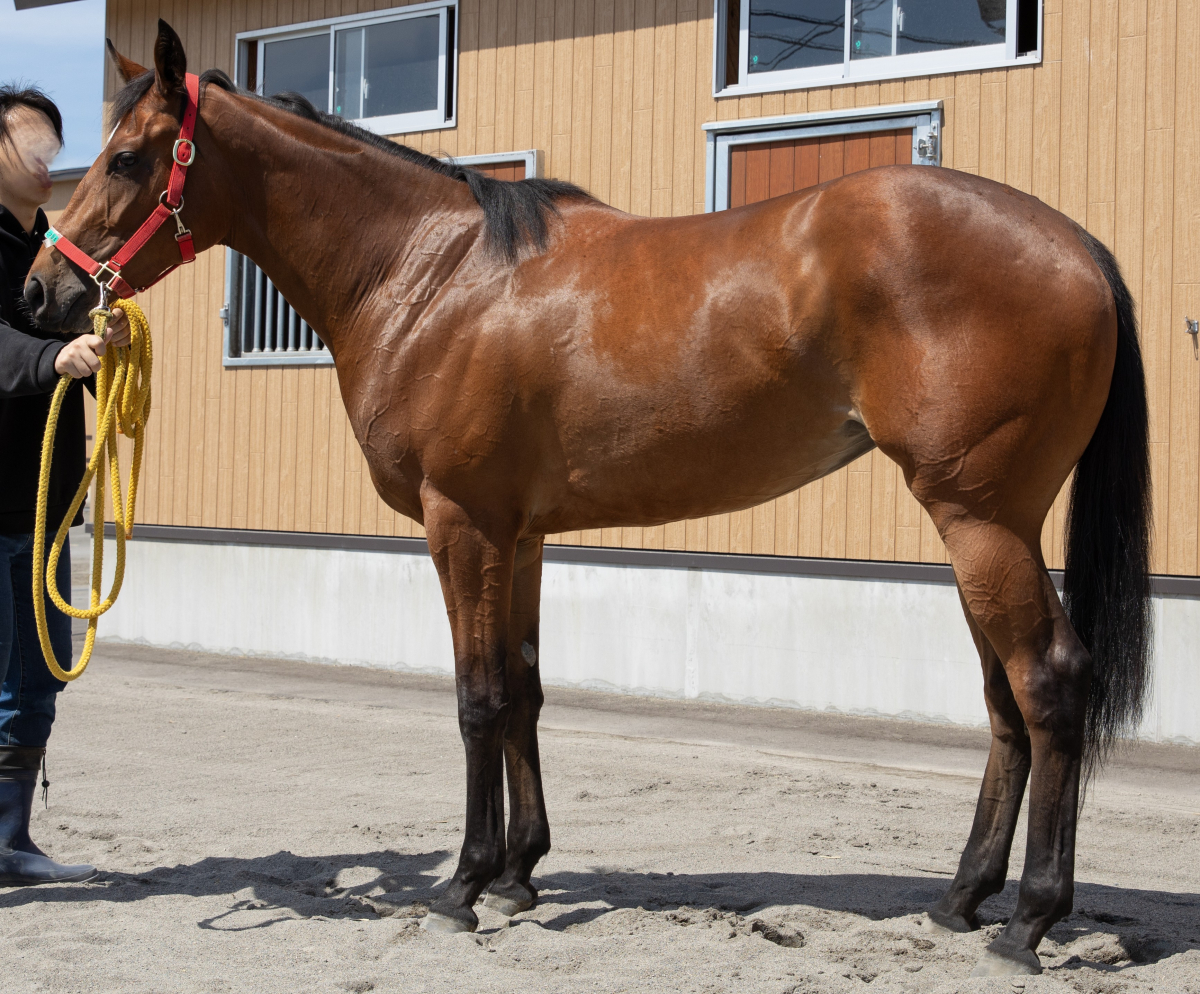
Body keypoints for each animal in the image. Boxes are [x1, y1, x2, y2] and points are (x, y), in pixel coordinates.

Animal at [26, 20, 1151, 978]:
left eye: (127, 159)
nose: (43, 292)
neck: (431, 276)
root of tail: (1081, 246)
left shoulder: (462, 525)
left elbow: (478, 699)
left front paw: (464, 884)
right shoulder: (520, 538)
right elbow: (524, 689)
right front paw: (522, 872)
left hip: (981, 518)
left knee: (1048, 684)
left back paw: (1029, 921)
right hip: (981, 527)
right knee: (1005, 701)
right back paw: (962, 899)